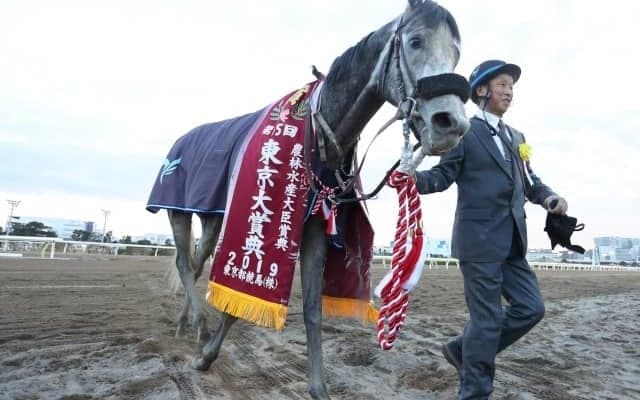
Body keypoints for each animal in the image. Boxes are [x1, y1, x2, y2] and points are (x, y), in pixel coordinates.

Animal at [148, 1, 469, 399]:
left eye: (456, 53)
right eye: (415, 41)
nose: (450, 124)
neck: (318, 131)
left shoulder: (316, 224)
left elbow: (313, 308)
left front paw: (319, 387)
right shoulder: (260, 220)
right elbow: (239, 298)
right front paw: (205, 358)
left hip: (210, 218)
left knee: (194, 263)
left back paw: (188, 325)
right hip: (178, 212)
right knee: (183, 263)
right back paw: (196, 324)